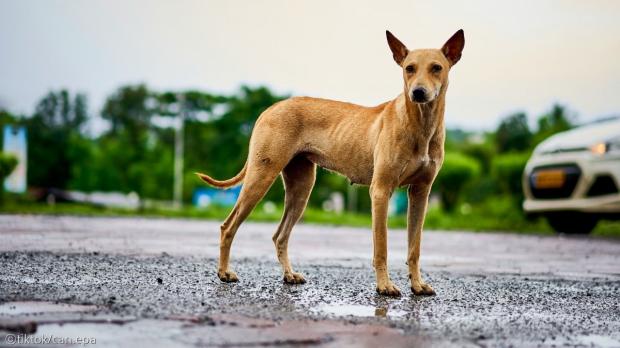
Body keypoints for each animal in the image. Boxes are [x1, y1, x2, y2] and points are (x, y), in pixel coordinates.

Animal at [196, 29, 462, 296]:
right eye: (409, 68)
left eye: (437, 68)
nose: (417, 92)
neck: (420, 123)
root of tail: (271, 108)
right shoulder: (380, 191)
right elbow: (382, 247)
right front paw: (384, 286)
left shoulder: (420, 193)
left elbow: (414, 247)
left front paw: (417, 285)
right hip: (261, 177)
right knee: (228, 226)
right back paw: (224, 272)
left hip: (301, 189)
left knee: (280, 235)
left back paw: (289, 274)